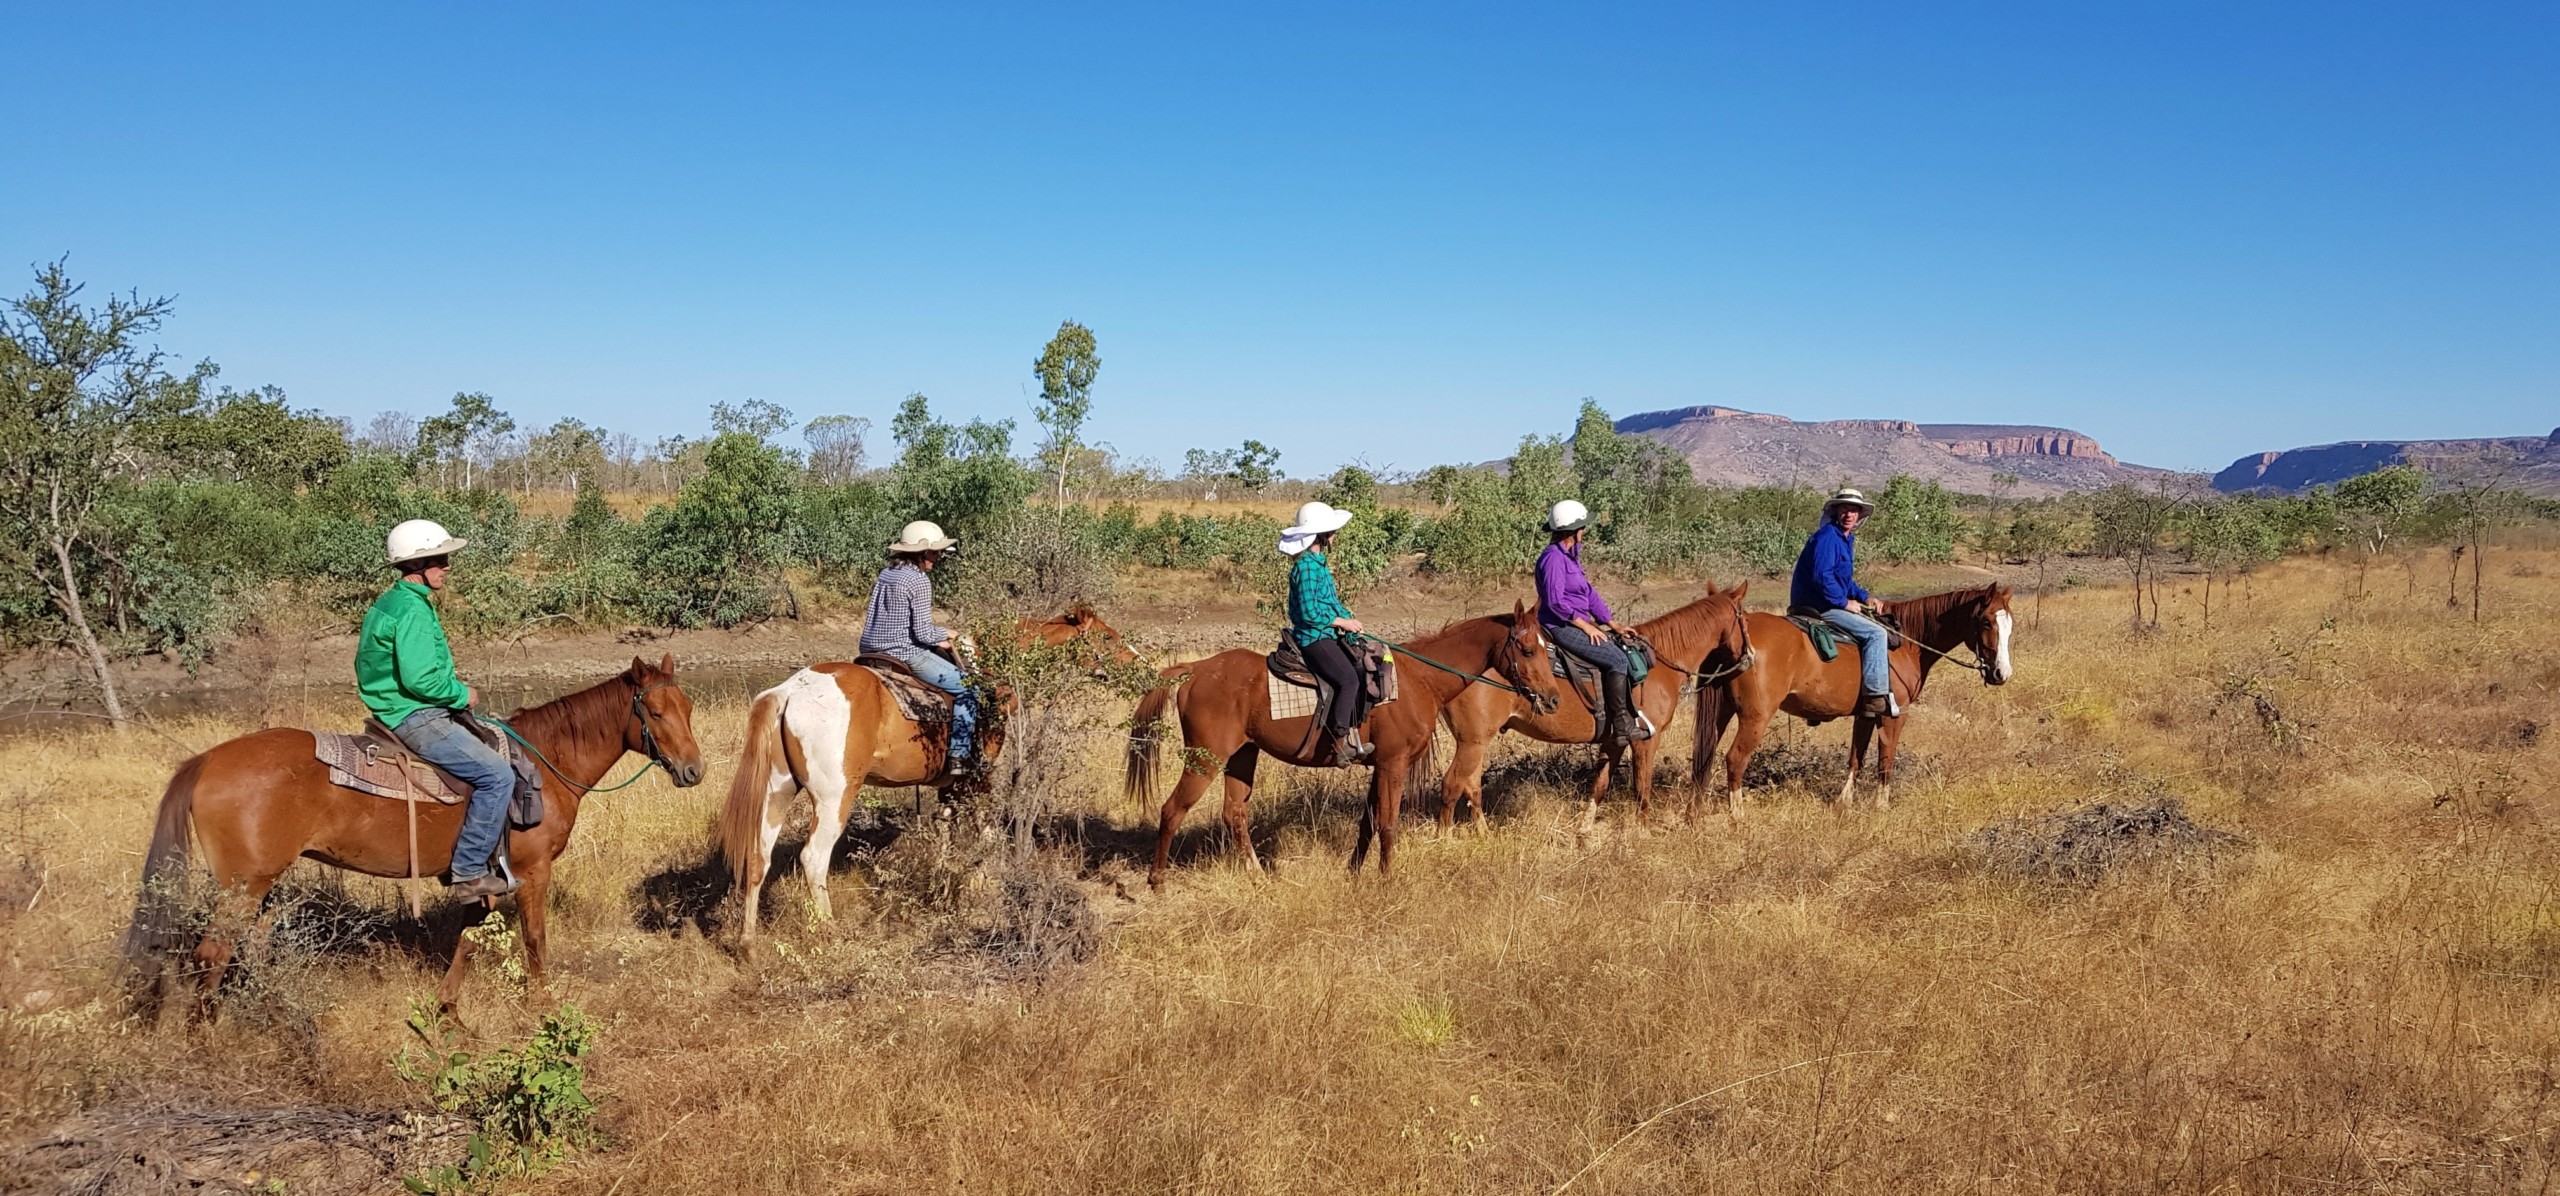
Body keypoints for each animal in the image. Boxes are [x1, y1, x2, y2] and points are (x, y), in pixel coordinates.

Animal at [117, 655, 701, 1019]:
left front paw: (446, 1011)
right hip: (244, 885)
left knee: (248, 951)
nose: (694, 771)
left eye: (689, 708)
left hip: (259, 886)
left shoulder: (482, 878)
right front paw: (545, 1009)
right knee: (212, 953)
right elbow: (535, 939)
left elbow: (467, 939)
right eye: (654, 711)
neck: (544, 762)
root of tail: (206, 760)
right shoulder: (533, 872)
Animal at [1126, 609, 1556, 891]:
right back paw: (1158, 881)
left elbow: (1368, 823)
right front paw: (1387, 878)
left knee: (1234, 813)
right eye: (1528, 650)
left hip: (1242, 756)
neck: (1420, 679)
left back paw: (1258, 876)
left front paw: (1354, 872)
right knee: (1172, 809)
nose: (1552, 698)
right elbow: (1388, 823)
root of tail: (1195, 670)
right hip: (1204, 759)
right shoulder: (1394, 763)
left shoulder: (1378, 765)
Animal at [1443, 583, 1761, 829]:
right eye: (1744, 620)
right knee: (1456, 783)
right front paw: (1643, 831)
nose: (1751, 656)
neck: (1659, 662)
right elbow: (1641, 788)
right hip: (1473, 741)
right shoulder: (1646, 740)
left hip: (1475, 742)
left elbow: (1599, 786)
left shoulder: (1613, 741)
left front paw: (1584, 832)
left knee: (1471, 786)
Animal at [1699, 586, 2017, 819]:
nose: (2001, 673)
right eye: (1986, 621)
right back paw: (1737, 816)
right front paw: (1881, 805)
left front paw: (1845, 802)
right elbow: (1885, 761)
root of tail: (1737, 636)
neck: (1907, 643)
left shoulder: (1865, 714)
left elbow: (1856, 759)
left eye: (2009, 626)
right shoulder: (1894, 714)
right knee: (1735, 759)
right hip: (1755, 716)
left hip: (1722, 713)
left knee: (1705, 757)